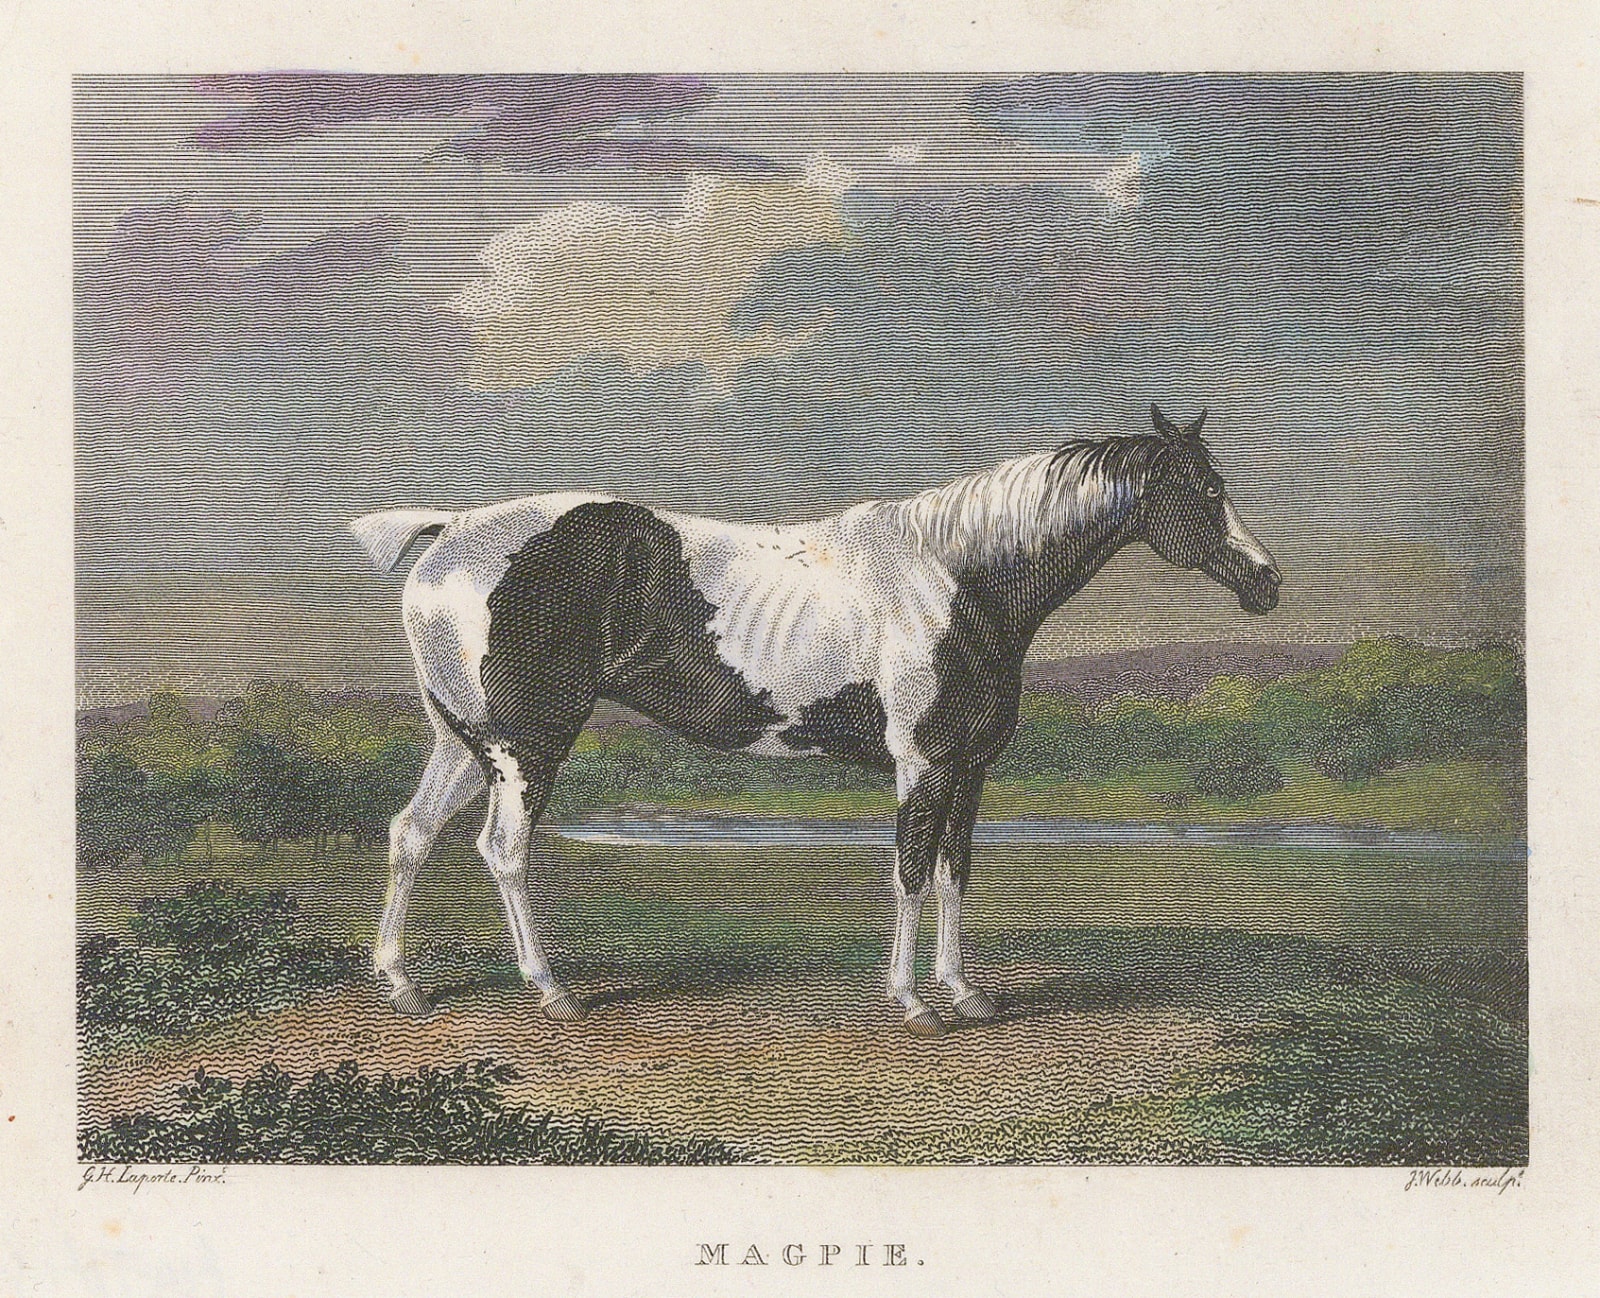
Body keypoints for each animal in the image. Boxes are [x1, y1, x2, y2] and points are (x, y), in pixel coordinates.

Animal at [351, 404, 1280, 1036]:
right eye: (1203, 491)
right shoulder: (923, 763)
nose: (1267, 582)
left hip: (462, 741)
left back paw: (404, 985)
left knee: (410, 834)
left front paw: (968, 993)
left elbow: (955, 874)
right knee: (502, 851)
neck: (958, 579)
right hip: (525, 744)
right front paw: (913, 1003)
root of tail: (452, 530)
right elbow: (910, 873)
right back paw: (553, 992)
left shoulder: (970, 767)